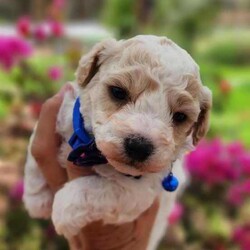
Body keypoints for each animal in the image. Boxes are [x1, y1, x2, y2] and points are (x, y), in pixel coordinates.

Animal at [23, 35, 211, 250]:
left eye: (180, 116)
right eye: (118, 92)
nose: (139, 146)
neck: (92, 151)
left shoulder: (138, 192)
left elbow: (94, 188)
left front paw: (63, 209)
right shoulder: (61, 112)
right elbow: (33, 154)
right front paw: (36, 199)